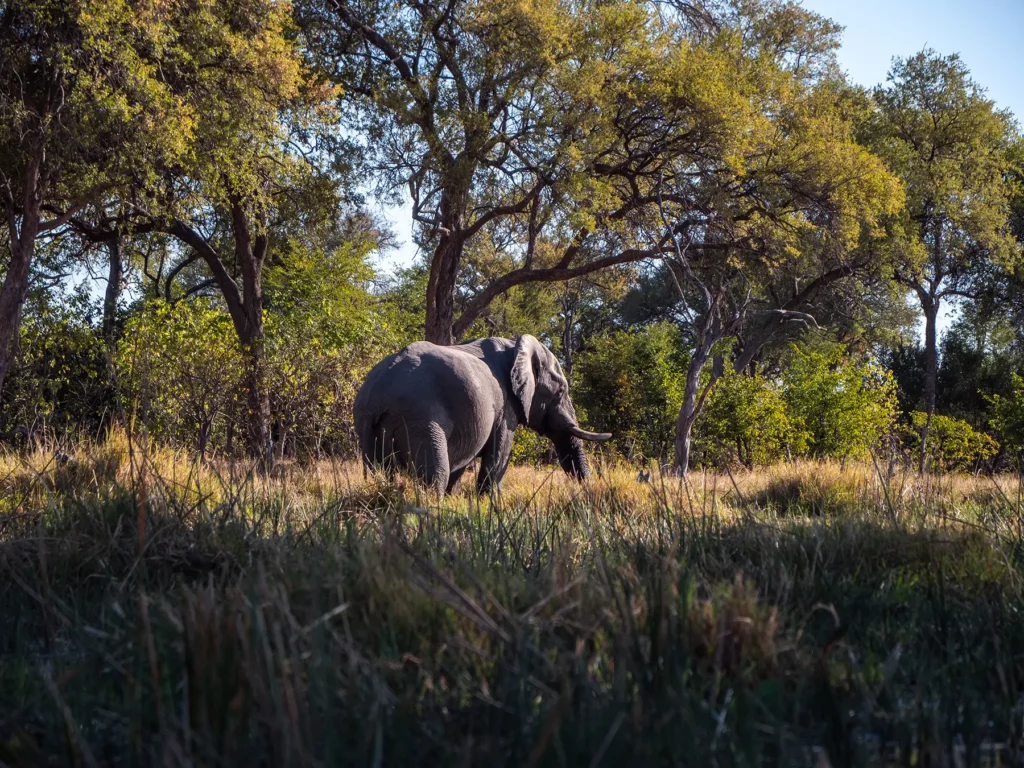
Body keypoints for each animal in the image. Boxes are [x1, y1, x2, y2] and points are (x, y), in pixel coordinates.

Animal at [353, 334, 611, 494]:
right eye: (561, 392)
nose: (588, 488)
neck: (516, 347)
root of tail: (377, 394)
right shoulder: (506, 406)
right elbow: (498, 453)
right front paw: (489, 503)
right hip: (419, 418)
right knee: (436, 473)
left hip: (367, 424)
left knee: (376, 470)